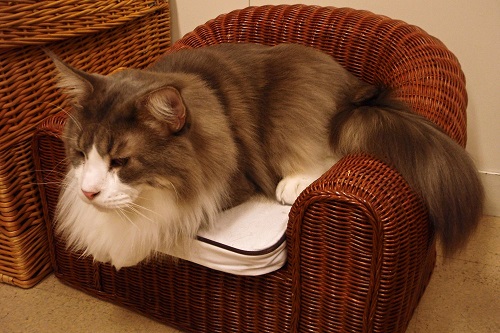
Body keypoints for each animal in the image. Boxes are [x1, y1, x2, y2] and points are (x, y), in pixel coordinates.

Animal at [47, 42, 484, 268]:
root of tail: (356, 90)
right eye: (80, 152)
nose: (88, 192)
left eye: (121, 162)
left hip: (286, 108)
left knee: (329, 152)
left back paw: (292, 185)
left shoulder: (228, 185)